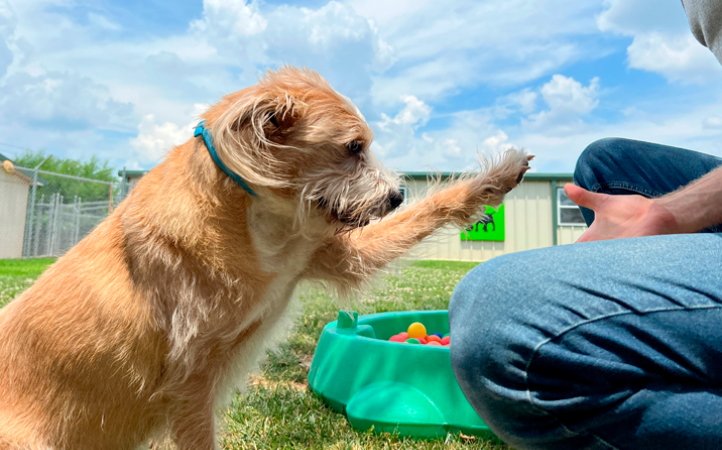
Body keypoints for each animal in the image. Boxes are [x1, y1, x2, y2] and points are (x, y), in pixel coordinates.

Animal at [0, 67, 528, 450]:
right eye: (353, 147)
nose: (396, 195)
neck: (254, 223)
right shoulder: (189, 382)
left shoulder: (331, 257)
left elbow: (432, 208)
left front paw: (497, 179)